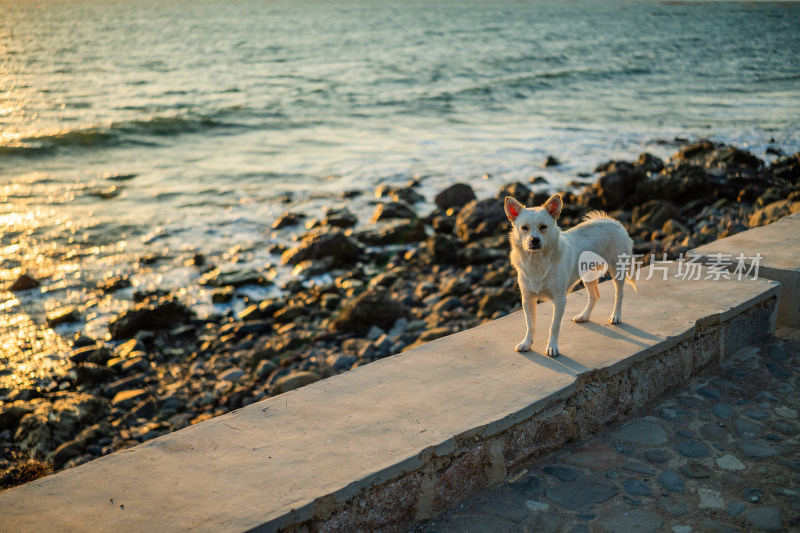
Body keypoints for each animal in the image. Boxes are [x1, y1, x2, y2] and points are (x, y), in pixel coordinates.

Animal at [510, 193, 636, 356]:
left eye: (543, 227)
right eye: (524, 228)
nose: (534, 240)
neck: (537, 261)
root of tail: (614, 221)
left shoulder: (560, 300)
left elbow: (554, 326)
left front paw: (552, 346)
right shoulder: (528, 299)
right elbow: (530, 325)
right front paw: (526, 343)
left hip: (617, 270)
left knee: (619, 294)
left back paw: (616, 315)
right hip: (588, 275)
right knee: (595, 295)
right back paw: (584, 316)